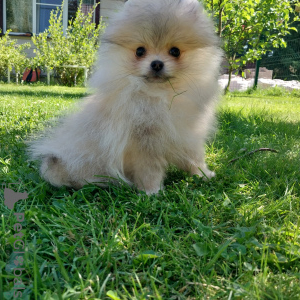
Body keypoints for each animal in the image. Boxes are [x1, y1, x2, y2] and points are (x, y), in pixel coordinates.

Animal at [31, 0, 223, 195]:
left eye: (175, 51)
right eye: (140, 51)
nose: (156, 63)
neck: (160, 95)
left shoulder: (188, 133)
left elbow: (194, 157)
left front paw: (203, 174)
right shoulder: (144, 143)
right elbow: (149, 169)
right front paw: (152, 191)